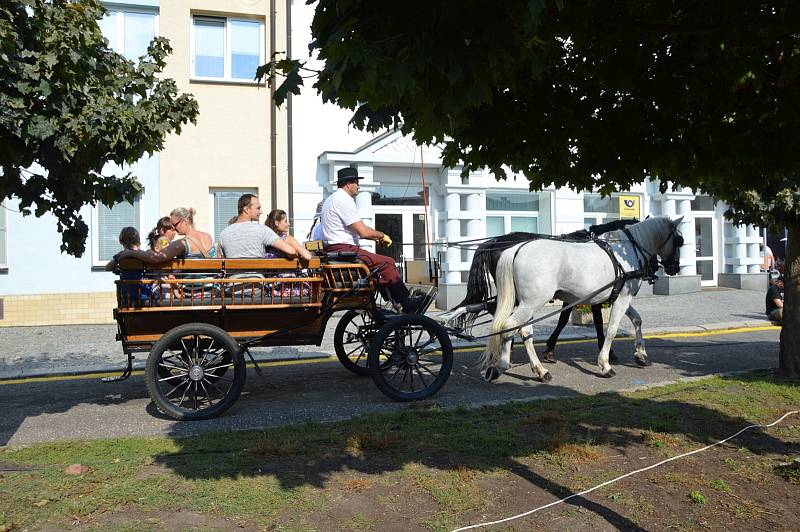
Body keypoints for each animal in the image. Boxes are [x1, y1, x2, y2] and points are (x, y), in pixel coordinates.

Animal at [478, 216, 684, 382]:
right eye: (679, 241)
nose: (674, 268)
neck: (625, 251)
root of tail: (517, 249)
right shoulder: (621, 298)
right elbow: (610, 330)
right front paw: (605, 364)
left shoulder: (618, 296)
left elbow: (637, 320)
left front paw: (641, 354)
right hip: (531, 303)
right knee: (510, 325)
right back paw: (503, 365)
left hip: (527, 303)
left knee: (524, 330)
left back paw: (538, 370)